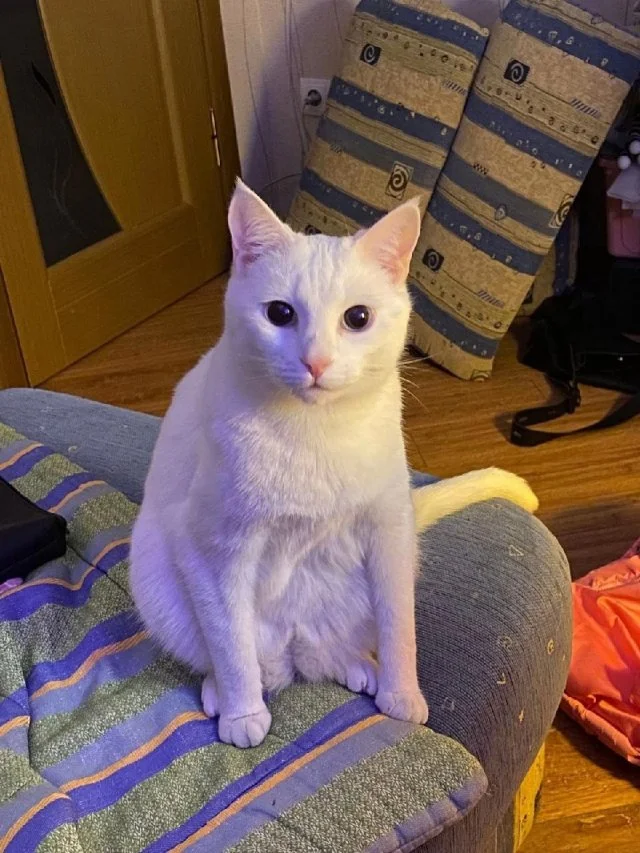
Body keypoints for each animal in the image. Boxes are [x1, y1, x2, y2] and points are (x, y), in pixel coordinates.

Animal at [130, 179, 538, 748]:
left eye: (358, 318)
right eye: (280, 314)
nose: (316, 361)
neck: (315, 431)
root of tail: (291, 651)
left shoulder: (389, 533)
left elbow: (400, 630)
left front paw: (402, 694)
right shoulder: (216, 551)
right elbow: (231, 646)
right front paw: (242, 712)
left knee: (329, 651)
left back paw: (359, 667)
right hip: (160, 581)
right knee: (232, 655)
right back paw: (228, 695)